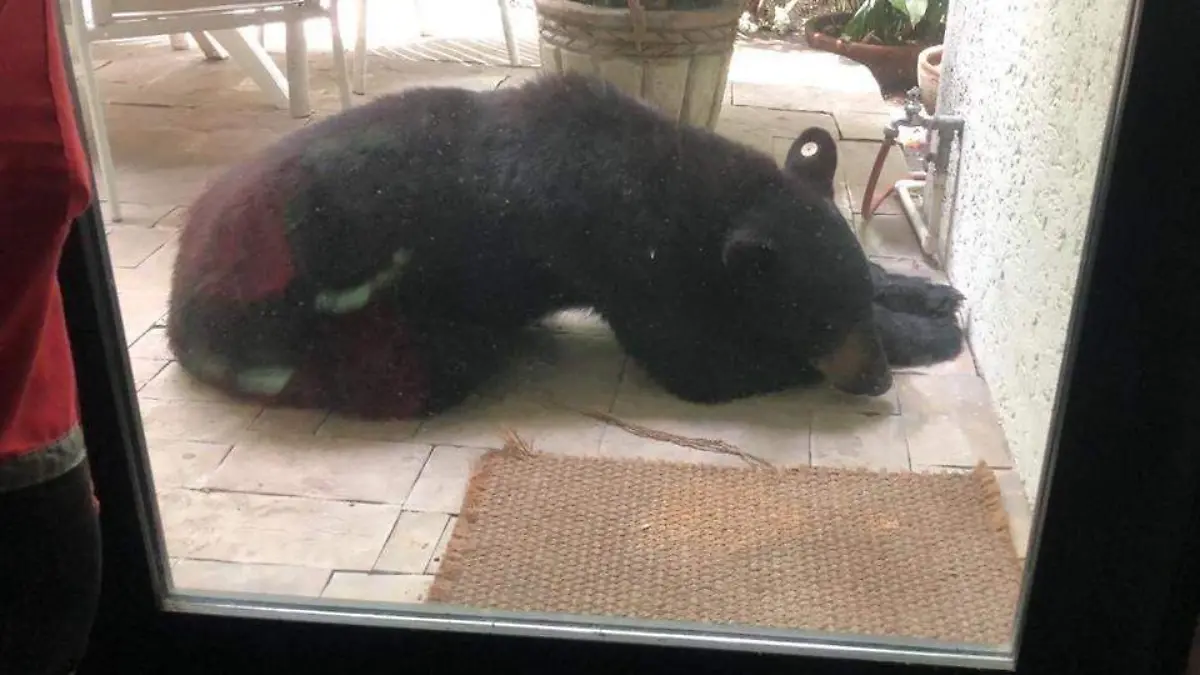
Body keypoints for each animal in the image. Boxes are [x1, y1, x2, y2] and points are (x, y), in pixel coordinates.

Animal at [169, 72, 964, 415]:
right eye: (816, 318)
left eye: (846, 301)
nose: (875, 381)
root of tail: (179, 320)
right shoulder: (628, 265)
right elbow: (706, 363)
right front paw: (926, 335)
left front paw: (925, 290)